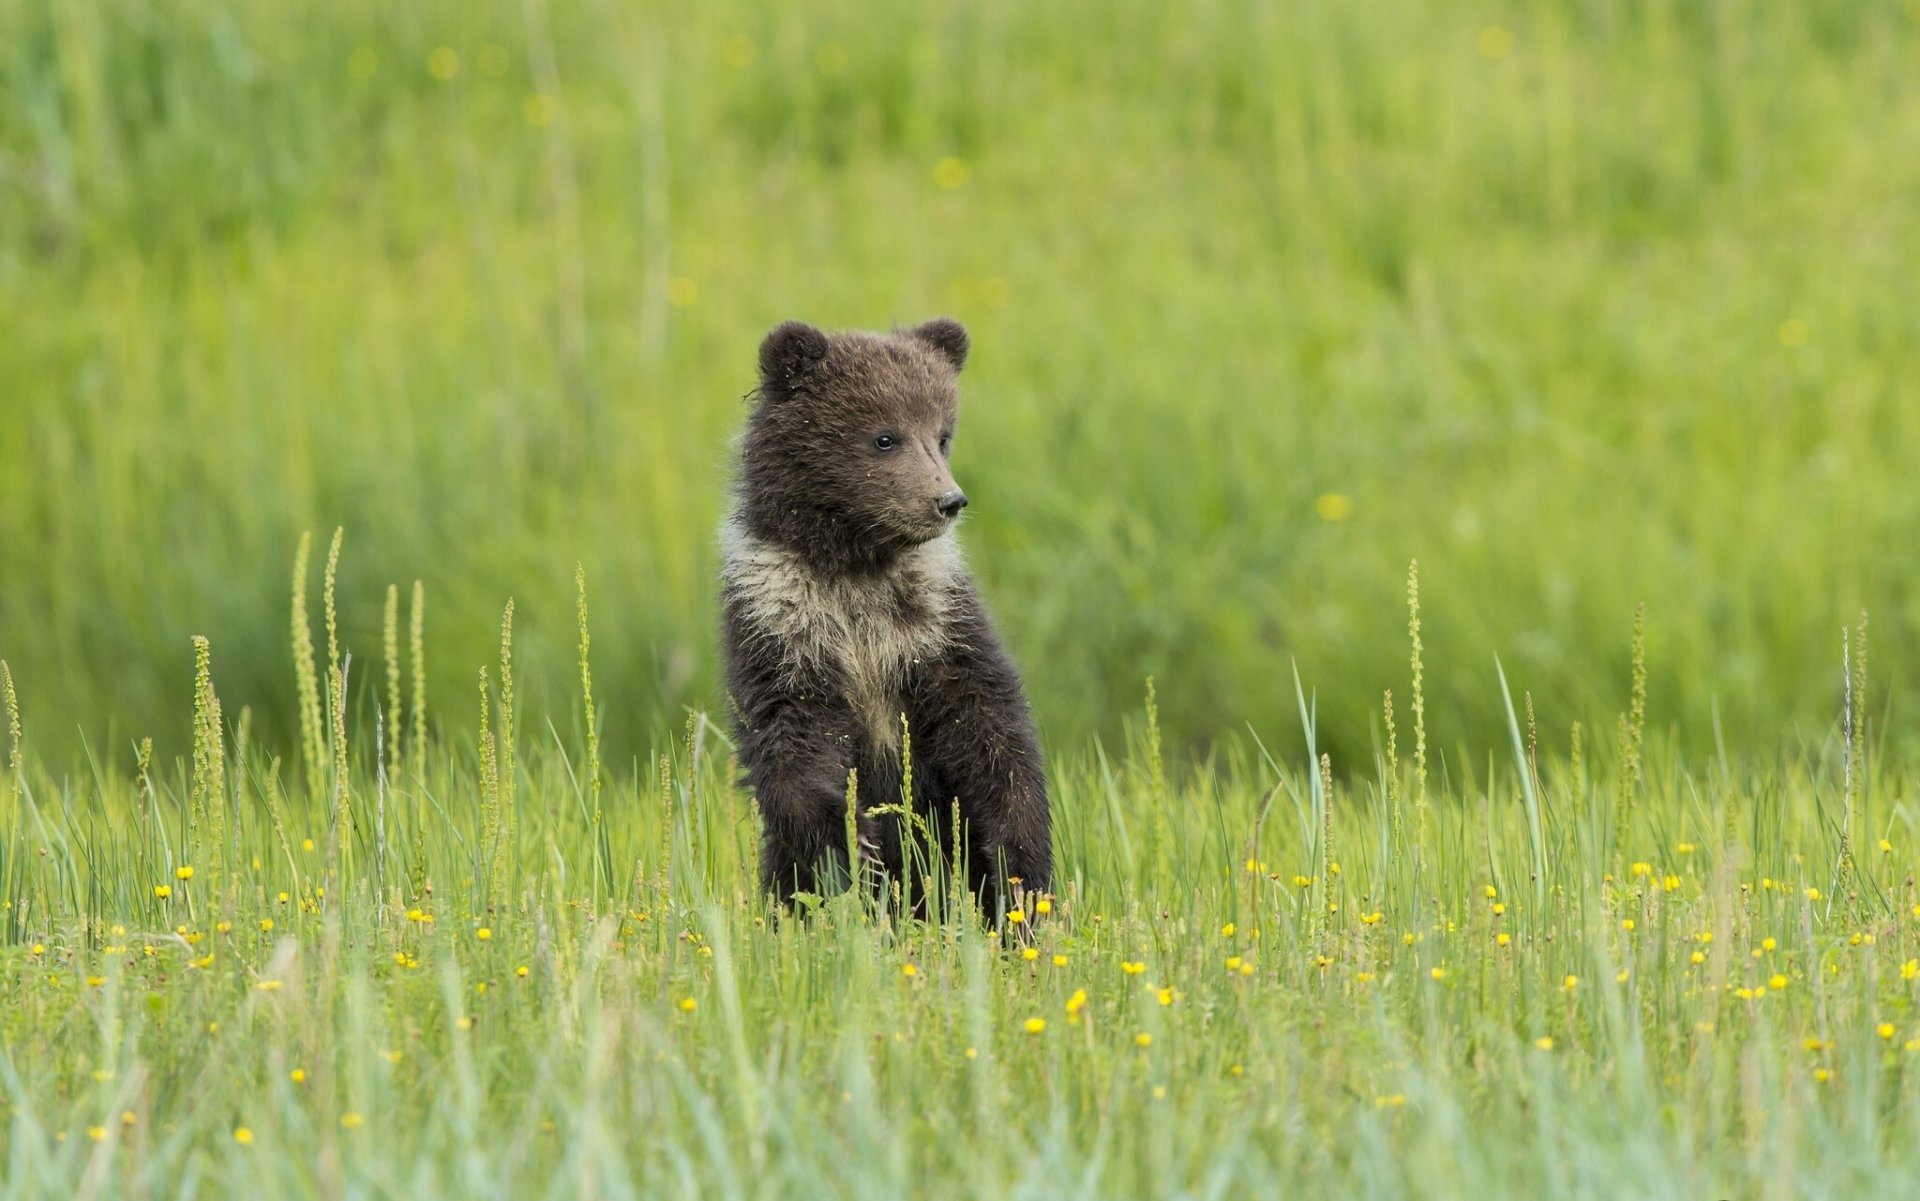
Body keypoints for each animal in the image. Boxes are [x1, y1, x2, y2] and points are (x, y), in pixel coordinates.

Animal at [721, 317, 1051, 917]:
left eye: (941, 434)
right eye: (883, 436)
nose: (948, 500)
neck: (857, 565)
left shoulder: (936, 623)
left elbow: (990, 729)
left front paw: (1018, 867)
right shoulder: (780, 624)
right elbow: (796, 747)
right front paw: (862, 842)